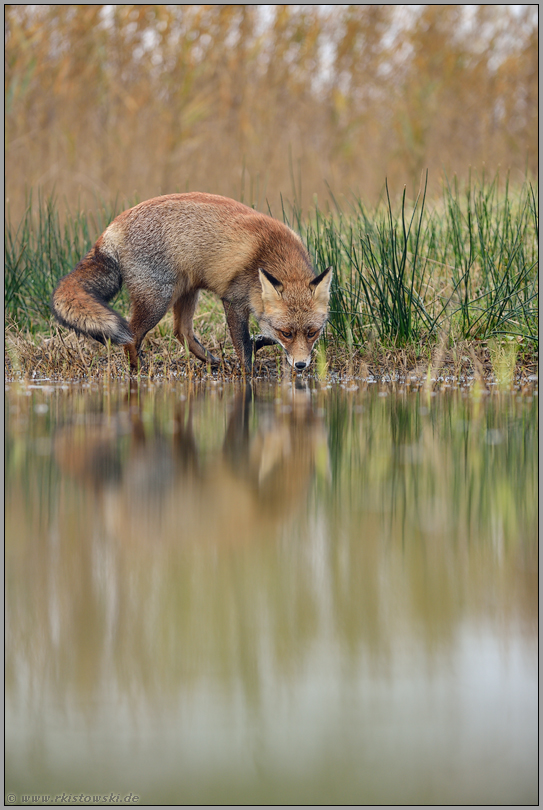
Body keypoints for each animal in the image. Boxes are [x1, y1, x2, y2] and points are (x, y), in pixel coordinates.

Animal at [51, 191, 334, 370]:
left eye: (312, 332)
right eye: (287, 333)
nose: (301, 365)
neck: (272, 255)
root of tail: (112, 227)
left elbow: (259, 336)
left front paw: (259, 343)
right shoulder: (234, 300)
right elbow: (242, 346)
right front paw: (248, 374)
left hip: (187, 291)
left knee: (181, 332)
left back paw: (213, 363)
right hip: (157, 301)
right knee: (132, 336)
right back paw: (138, 371)